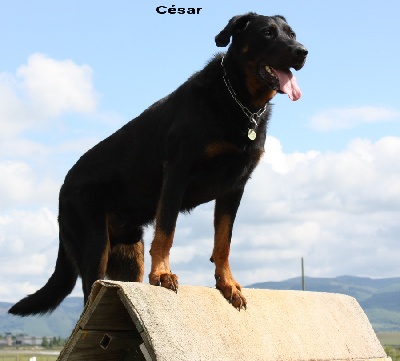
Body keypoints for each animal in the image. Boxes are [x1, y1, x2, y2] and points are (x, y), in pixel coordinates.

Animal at [10, 12, 310, 314]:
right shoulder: (178, 173)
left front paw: (227, 284)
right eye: (267, 33)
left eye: (292, 34)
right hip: (95, 246)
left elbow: (223, 242)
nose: (302, 52)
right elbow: (167, 231)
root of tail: (63, 188)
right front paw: (162, 274)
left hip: (129, 257)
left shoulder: (234, 188)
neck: (239, 100)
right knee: (89, 294)